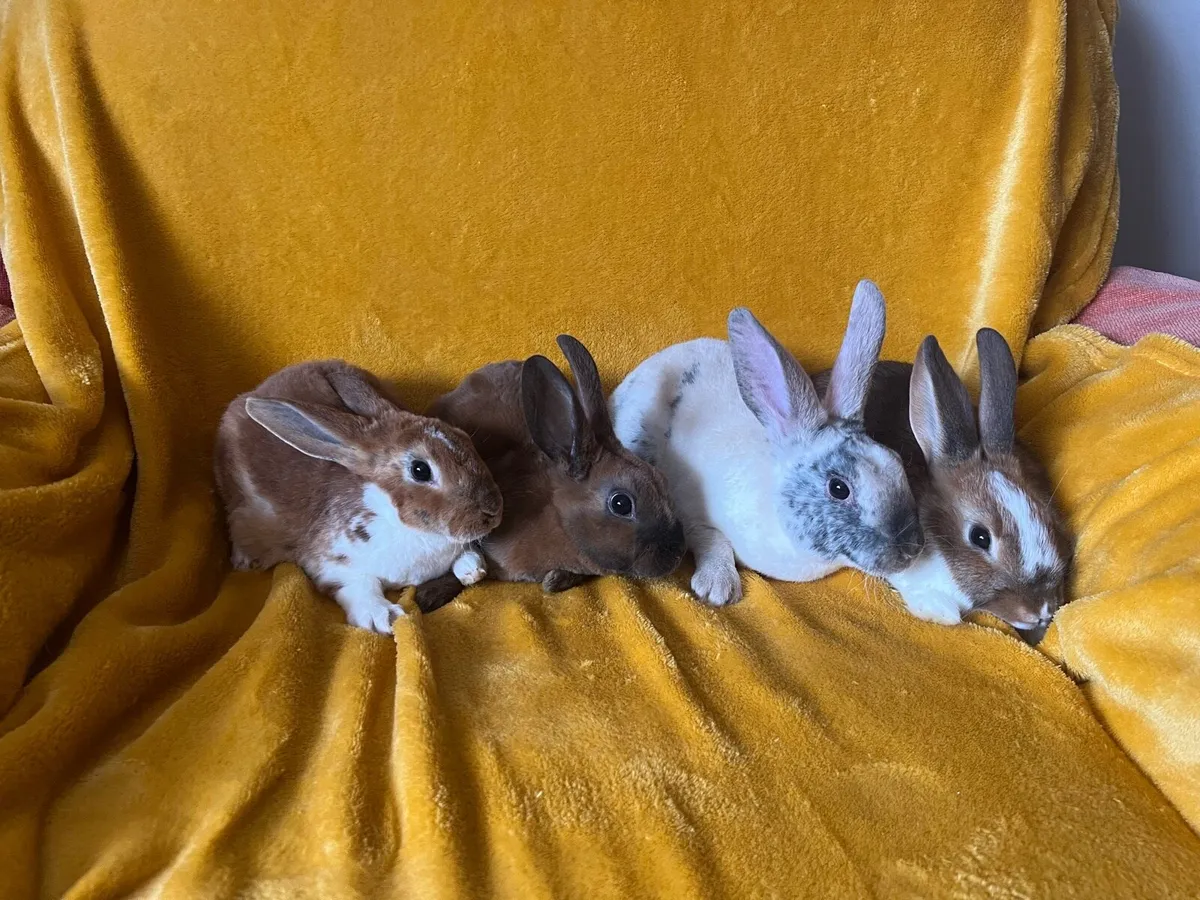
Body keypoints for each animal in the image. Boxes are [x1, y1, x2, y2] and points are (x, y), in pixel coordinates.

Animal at [213, 360, 503, 633]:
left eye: (465, 438)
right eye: (420, 470)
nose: (494, 511)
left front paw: (471, 569)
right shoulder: (333, 566)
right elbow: (359, 587)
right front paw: (384, 616)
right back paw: (245, 560)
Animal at [610, 279, 924, 607]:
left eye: (897, 462)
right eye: (839, 488)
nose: (912, 550)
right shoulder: (690, 513)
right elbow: (712, 538)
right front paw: (718, 588)